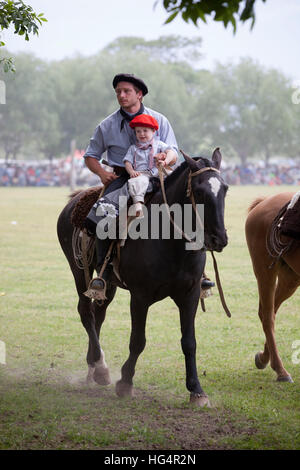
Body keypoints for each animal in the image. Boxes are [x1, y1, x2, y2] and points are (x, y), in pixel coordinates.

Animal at [246, 191, 298, 382]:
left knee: (270, 311)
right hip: (264, 270)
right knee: (267, 315)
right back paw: (280, 370)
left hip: (290, 277)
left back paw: (264, 358)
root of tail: (264, 201)